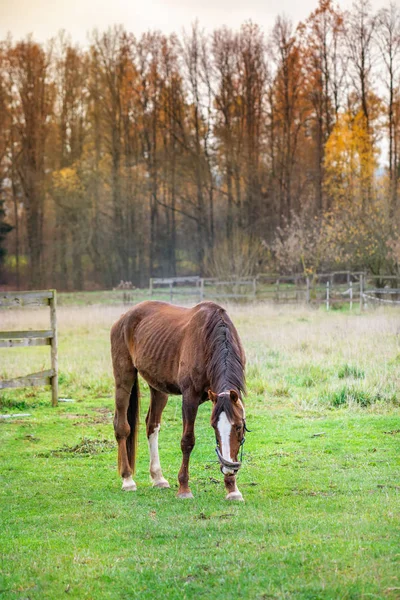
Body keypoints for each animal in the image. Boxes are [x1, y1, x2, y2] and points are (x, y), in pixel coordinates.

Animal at [109, 300, 247, 502]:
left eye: (238, 426)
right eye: (214, 426)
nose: (229, 468)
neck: (209, 340)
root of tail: (123, 317)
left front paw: (232, 488)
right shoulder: (189, 398)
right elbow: (187, 441)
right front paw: (184, 488)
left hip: (158, 388)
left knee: (152, 426)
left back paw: (158, 478)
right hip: (124, 379)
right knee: (122, 427)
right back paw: (127, 479)